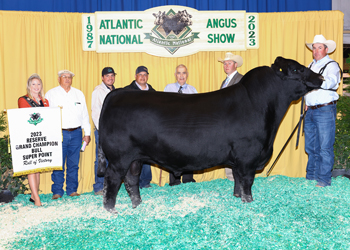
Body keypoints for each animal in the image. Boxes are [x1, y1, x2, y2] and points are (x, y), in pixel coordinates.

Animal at [96, 56, 322, 213]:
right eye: (296, 68)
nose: (320, 77)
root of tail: (117, 93)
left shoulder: (239, 159)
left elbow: (237, 179)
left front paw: (237, 197)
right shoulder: (248, 155)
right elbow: (247, 181)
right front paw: (248, 202)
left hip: (134, 158)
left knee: (131, 180)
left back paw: (137, 204)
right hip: (119, 157)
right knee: (112, 180)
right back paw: (111, 209)